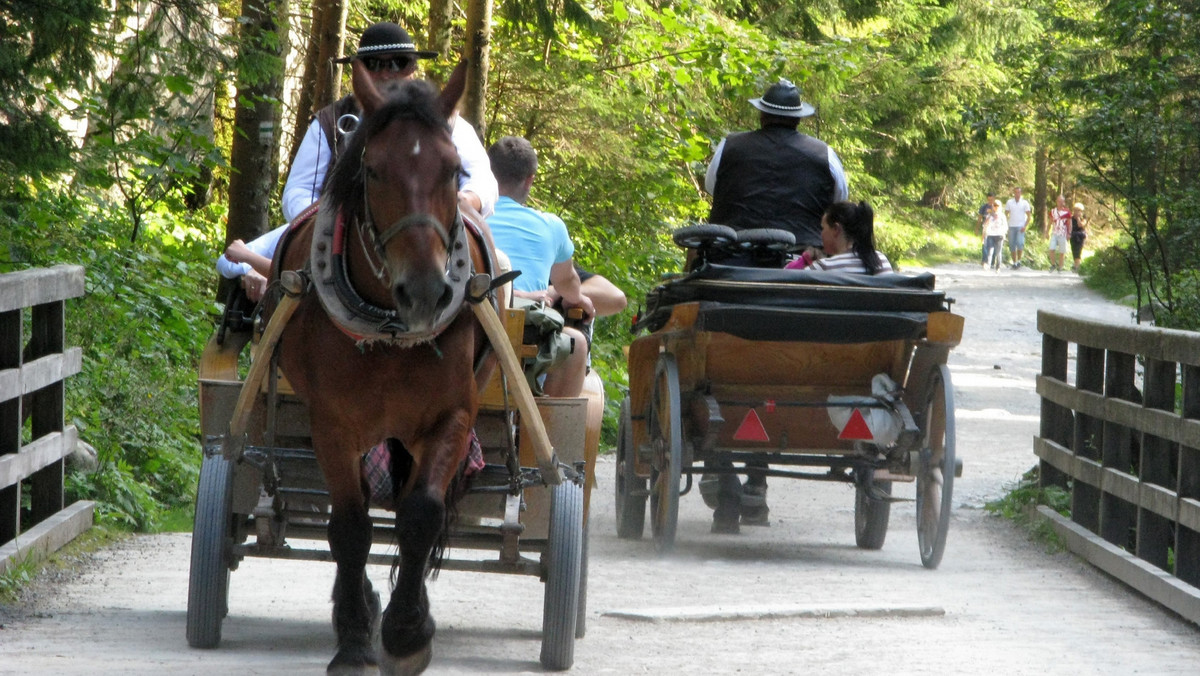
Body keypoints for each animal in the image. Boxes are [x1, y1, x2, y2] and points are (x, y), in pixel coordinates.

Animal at [270, 60, 494, 672]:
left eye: (454, 170)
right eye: (372, 170)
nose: (425, 291)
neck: (391, 332)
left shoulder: (452, 418)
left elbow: (420, 516)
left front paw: (407, 632)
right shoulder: (331, 425)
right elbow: (350, 527)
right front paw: (354, 639)